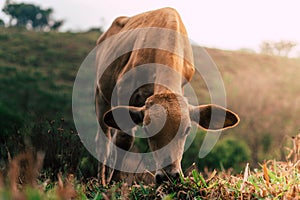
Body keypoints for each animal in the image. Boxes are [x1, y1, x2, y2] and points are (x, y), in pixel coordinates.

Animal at [95, 7, 240, 184]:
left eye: (187, 130)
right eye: (148, 129)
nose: (169, 175)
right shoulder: (124, 90)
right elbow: (124, 139)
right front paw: (114, 182)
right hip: (100, 95)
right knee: (103, 143)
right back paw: (101, 180)